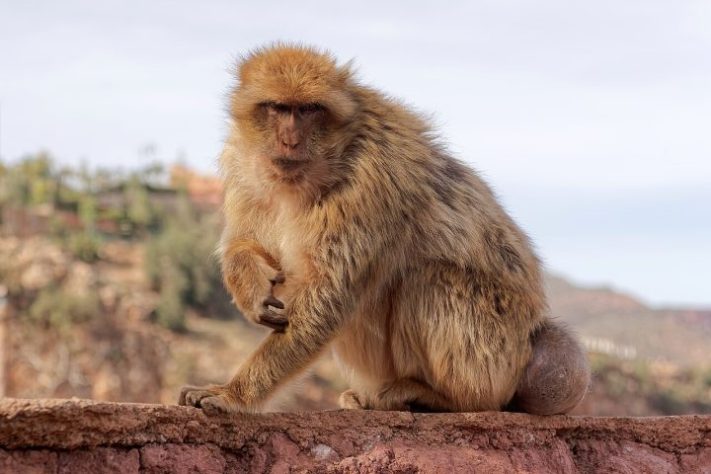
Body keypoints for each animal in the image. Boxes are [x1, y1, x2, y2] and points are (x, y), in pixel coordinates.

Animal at [178, 44, 590, 415]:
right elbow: (248, 243)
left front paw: (235, 396)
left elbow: (327, 302)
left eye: (308, 110)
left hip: (496, 352)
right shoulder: (243, 165)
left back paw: (449, 399)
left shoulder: (368, 185)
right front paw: (250, 286)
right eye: (278, 108)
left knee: (427, 279)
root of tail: (532, 337)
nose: (289, 140)